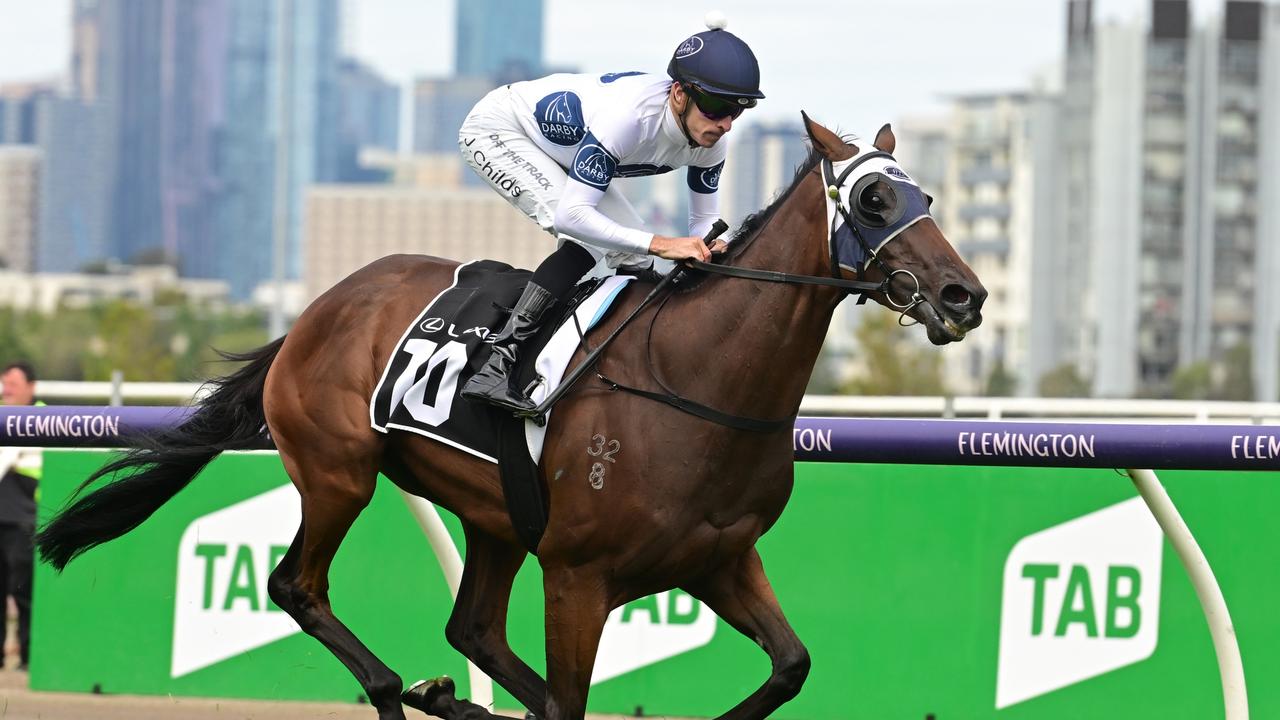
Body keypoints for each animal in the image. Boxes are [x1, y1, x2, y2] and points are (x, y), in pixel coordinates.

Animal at [35, 114, 983, 712]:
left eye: (928, 199)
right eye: (872, 201)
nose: (963, 295)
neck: (697, 380)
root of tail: (312, 313)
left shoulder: (721, 558)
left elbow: (791, 667)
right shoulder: (579, 577)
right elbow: (569, 703)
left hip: (493, 513)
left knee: (475, 630)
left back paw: (449, 697)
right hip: (340, 474)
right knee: (296, 585)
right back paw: (403, 691)